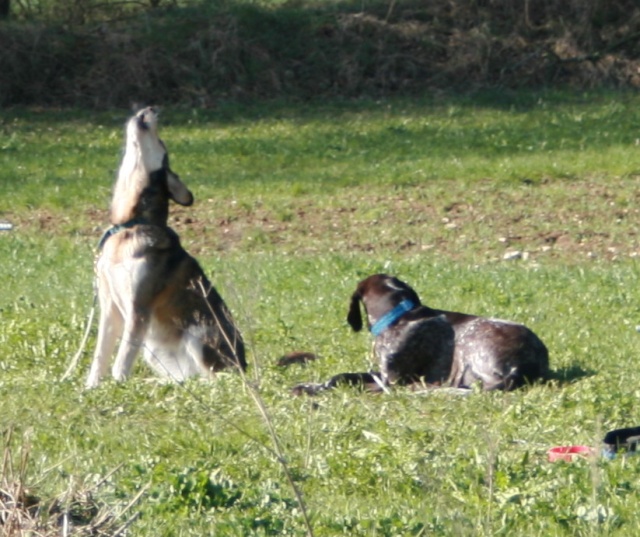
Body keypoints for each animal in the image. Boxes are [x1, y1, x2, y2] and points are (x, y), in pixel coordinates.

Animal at [85, 107, 245, 388]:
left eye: (161, 142)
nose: (151, 108)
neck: (130, 224)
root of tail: (246, 364)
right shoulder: (108, 307)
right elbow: (100, 357)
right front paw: (91, 388)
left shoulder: (138, 308)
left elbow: (122, 359)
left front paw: (118, 386)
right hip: (155, 350)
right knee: (183, 378)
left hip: (197, 332)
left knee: (216, 379)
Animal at [292, 272, 548, 394]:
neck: (400, 315)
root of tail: (521, 366)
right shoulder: (381, 373)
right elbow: (342, 376)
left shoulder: (391, 380)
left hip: (471, 341)